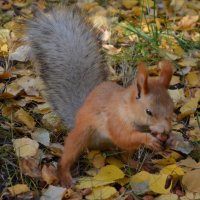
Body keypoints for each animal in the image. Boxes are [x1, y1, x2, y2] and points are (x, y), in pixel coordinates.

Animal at [26, 5, 173, 188]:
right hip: (81, 134)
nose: (165, 131)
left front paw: (169, 139)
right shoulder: (114, 120)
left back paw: (137, 163)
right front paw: (148, 139)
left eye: (172, 108)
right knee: (68, 155)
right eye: (149, 111)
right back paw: (65, 177)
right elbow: (124, 136)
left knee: (125, 155)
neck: (126, 107)